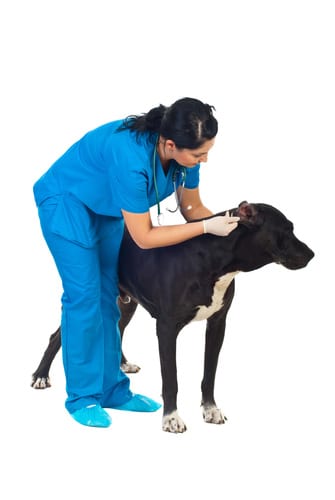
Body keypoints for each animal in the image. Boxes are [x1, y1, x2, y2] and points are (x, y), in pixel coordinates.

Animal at [30, 201, 316, 432]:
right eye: (287, 229)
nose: (312, 254)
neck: (217, 260)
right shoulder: (167, 328)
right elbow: (171, 379)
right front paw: (171, 418)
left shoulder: (217, 324)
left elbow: (209, 373)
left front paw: (211, 409)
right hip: (92, 291)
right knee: (59, 334)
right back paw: (41, 376)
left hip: (125, 302)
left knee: (117, 329)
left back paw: (122, 364)